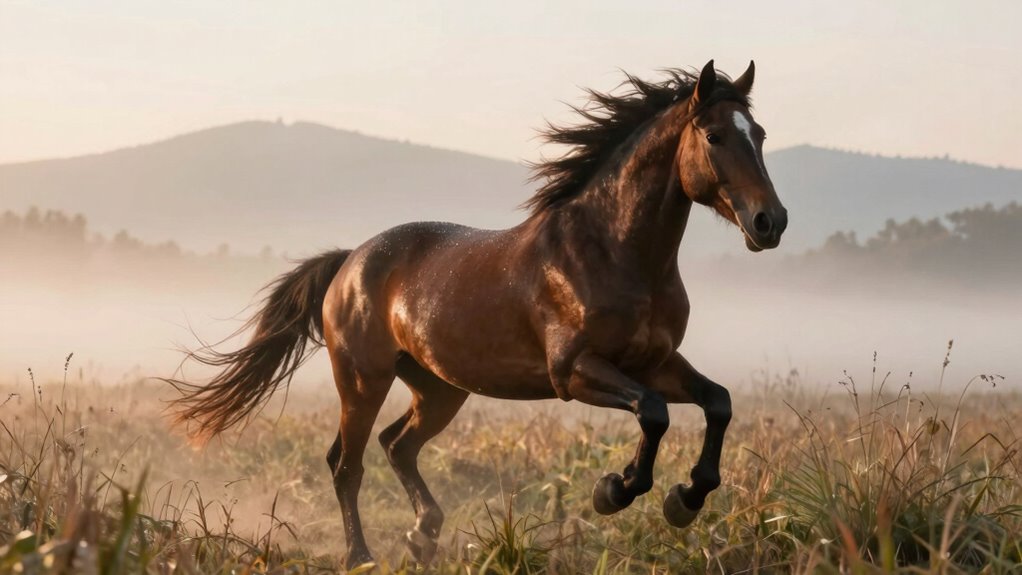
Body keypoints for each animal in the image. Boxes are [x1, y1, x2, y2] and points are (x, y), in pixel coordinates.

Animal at [169, 60, 787, 569]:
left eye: (758, 135)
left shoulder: (655, 363)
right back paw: (362, 556)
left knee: (396, 445)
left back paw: (423, 535)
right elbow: (654, 413)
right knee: (348, 464)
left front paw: (685, 499)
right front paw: (615, 490)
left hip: (440, 388)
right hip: (363, 380)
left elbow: (718, 403)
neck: (614, 252)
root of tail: (350, 261)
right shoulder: (575, 372)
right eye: (713, 136)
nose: (770, 222)